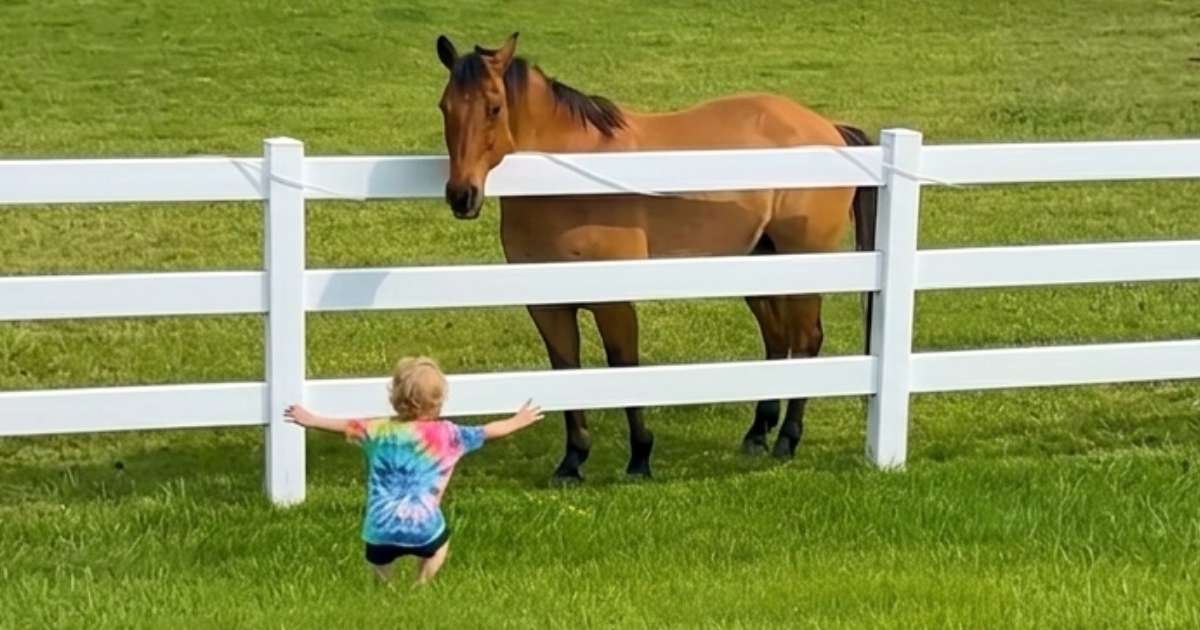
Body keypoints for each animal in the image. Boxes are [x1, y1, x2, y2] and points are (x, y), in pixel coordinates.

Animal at [433, 32, 877, 481]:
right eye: (445, 106)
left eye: (494, 107)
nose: (461, 195)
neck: (569, 181)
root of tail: (829, 128)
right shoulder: (548, 305)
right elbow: (566, 370)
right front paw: (572, 461)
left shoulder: (614, 301)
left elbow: (625, 366)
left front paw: (640, 457)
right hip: (760, 263)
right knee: (778, 339)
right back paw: (758, 433)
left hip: (802, 261)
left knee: (804, 340)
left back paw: (787, 439)